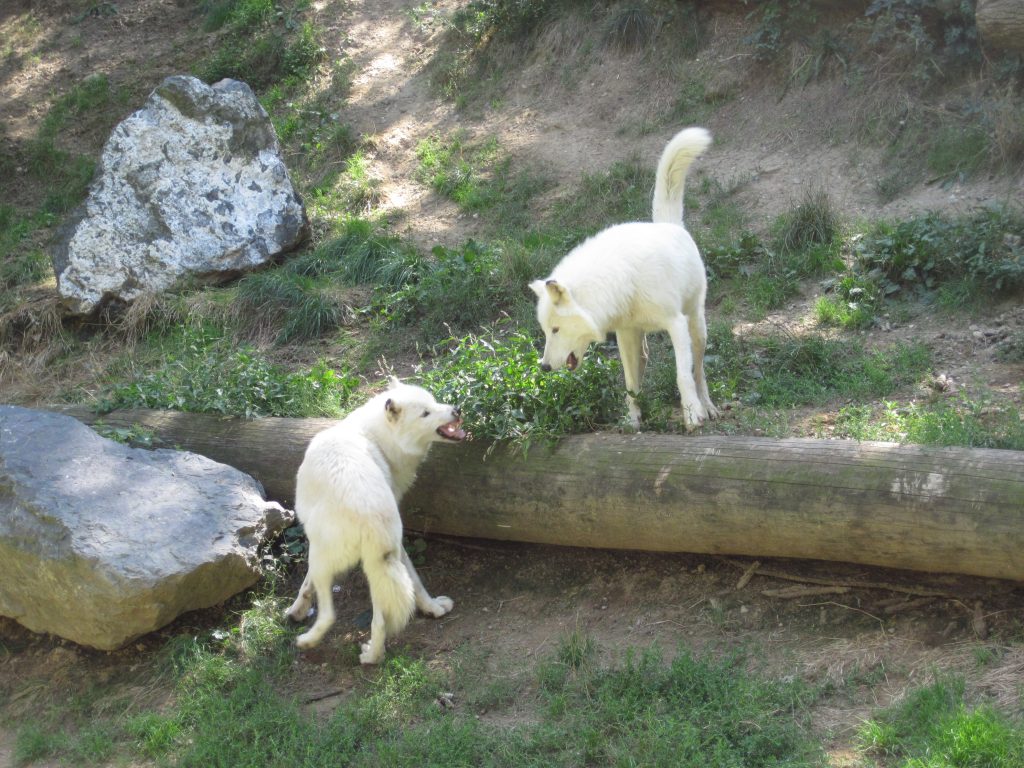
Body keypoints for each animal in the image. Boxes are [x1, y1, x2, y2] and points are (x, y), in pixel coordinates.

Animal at [286, 382, 466, 663]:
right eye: (426, 412)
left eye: (434, 402)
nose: (457, 409)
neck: (376, 437)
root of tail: (369, 513)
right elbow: (307, 582)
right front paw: (297, 609)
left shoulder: (315, 548)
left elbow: (307, 581)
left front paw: (298, 611)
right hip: (382, 563)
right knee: (384, 616)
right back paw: (377, 652)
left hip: (326, 560)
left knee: (329, 616)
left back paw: (308, 641)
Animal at [528, 123, 720, 430]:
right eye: (545, 331)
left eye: (556, 329)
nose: (544, 367)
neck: (624, 283)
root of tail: (668, 224)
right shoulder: (625, 334)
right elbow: (630, 384)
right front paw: (633, 422)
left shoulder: (676, 324)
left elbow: (683, 375)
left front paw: (692, 415)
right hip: (641, 340)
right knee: (644, 363)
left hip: (697, 327)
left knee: (699, 370)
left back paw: (708, 406)